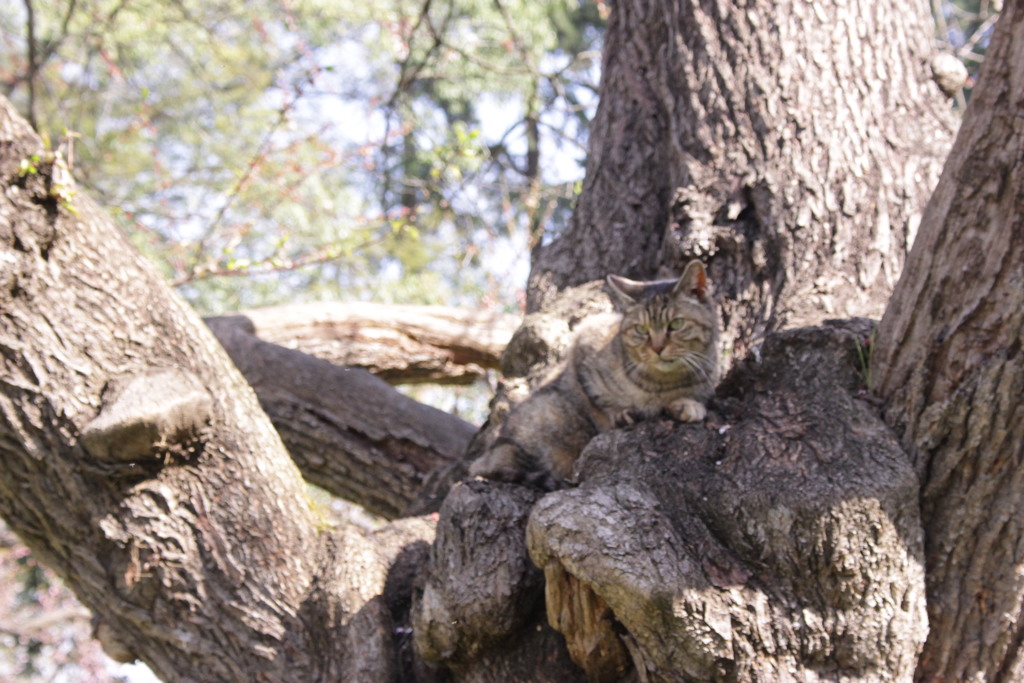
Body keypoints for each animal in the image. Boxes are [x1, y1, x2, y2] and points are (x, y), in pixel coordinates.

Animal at [466, 259, 716, 489]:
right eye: (640, 329)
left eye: (676, 324)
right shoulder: (584, 341)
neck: (662, 383)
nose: (657, 348)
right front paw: (619, 414)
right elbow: (598, 403)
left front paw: (686, 404)